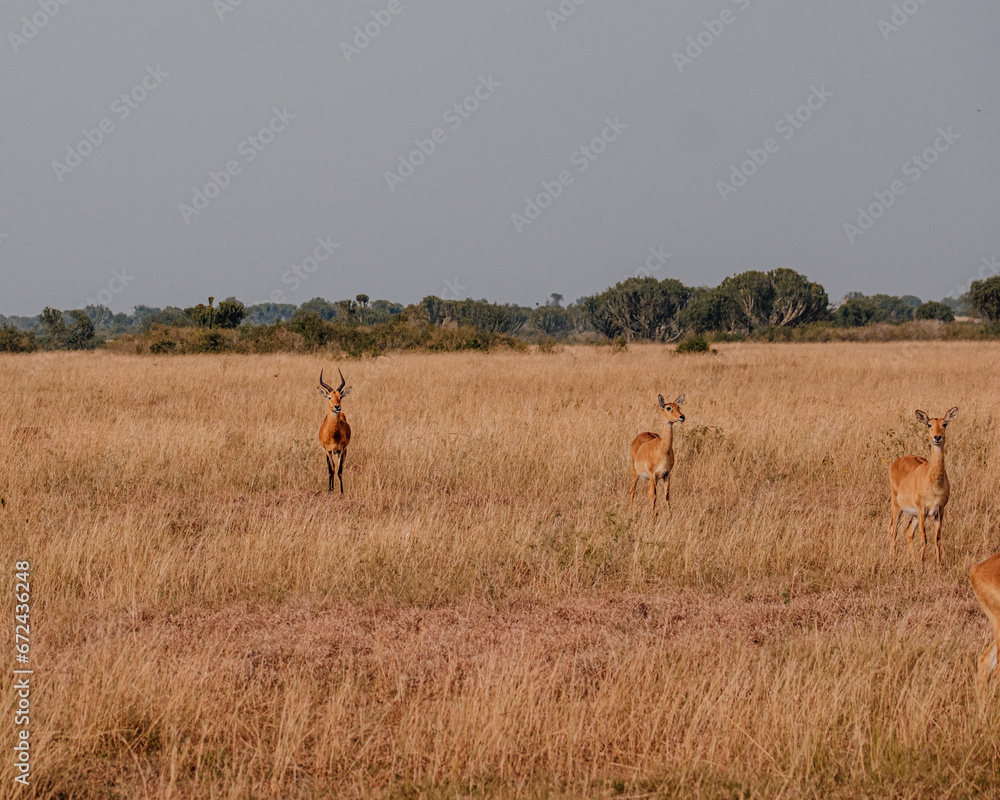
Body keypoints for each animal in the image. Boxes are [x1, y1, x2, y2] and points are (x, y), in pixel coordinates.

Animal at [892, 406, 960, 564]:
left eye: (944, 424)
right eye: (929, 424)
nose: (937, 437)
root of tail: (897, 461)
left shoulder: (940, 510)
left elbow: (937, 539)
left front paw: (938, 563)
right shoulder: (922, 509)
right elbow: (924, 538)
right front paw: (923, 564)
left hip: (914, 515)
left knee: (908, 532)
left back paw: (914, 560)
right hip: (897, 507)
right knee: (893, 529)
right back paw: (892, 558)